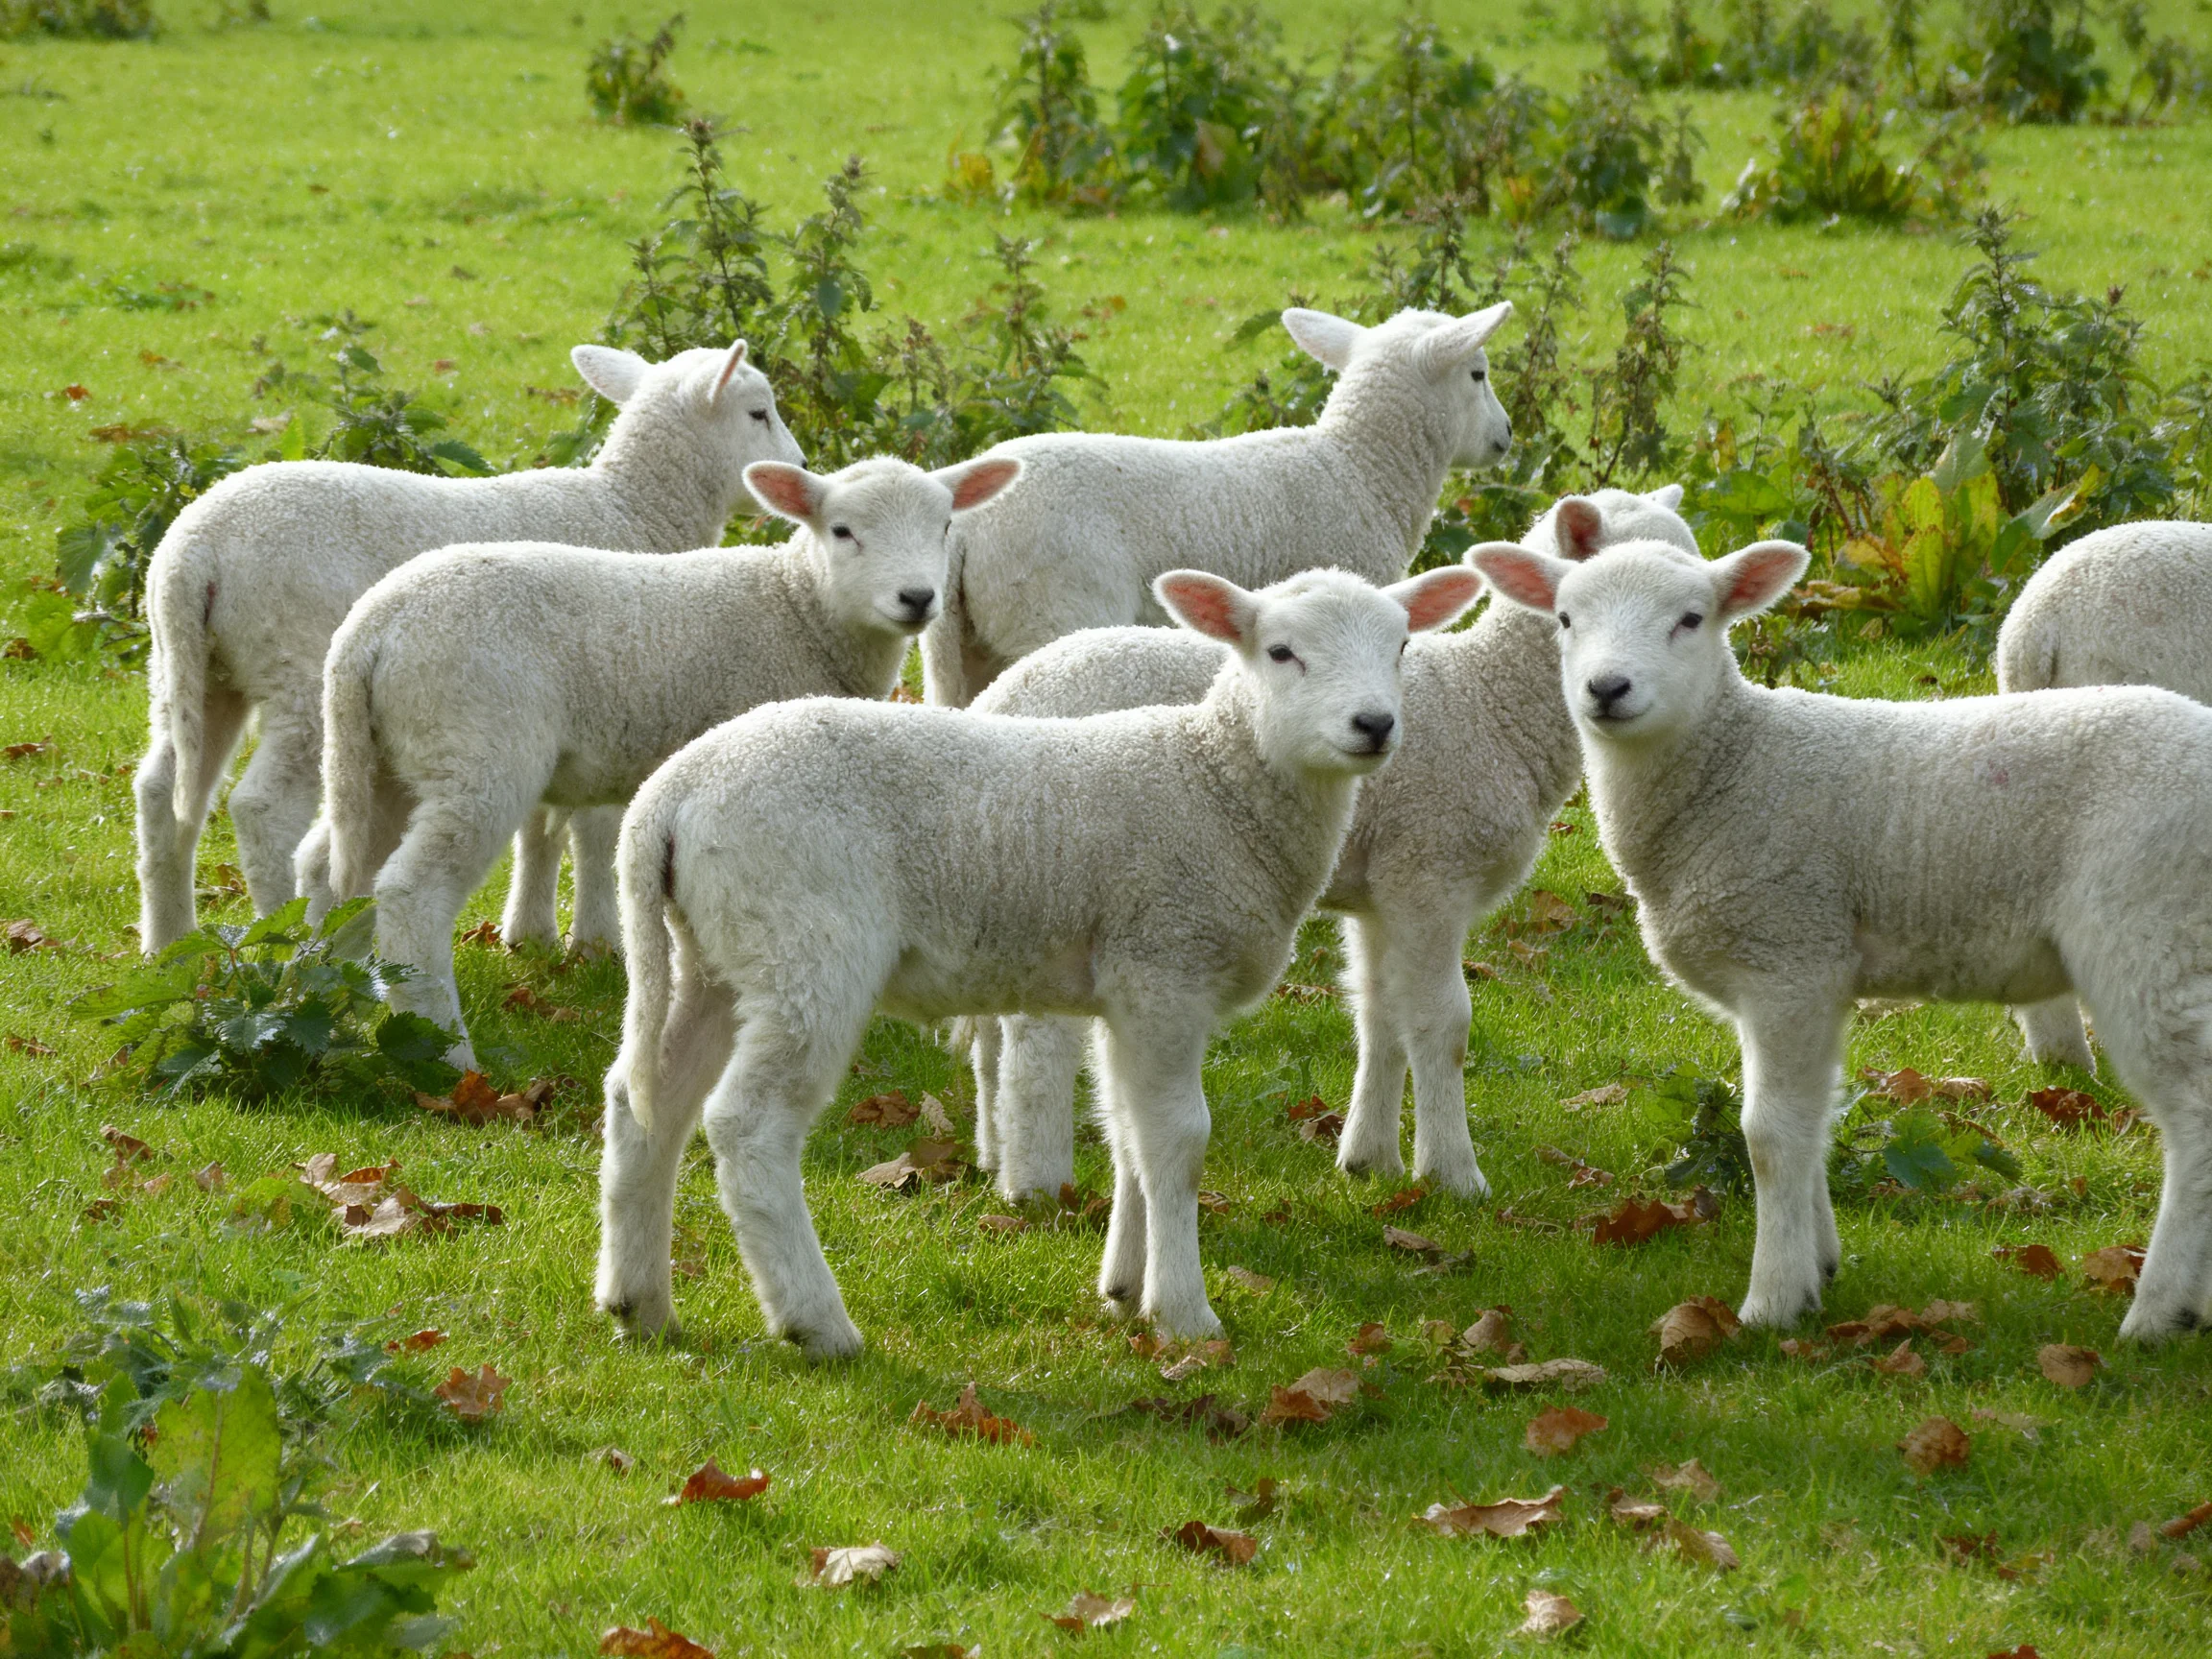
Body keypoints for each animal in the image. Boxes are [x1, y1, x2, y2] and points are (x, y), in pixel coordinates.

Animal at [134, 338, 802, 956]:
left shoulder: (555, 708)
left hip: (195, 670)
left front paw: (530, 933)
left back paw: (167, 942)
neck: (632, 508)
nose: (799, 465)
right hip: (295, 668)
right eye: (758, 412)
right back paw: (279, 929)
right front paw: (595, 940)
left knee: (164, 791)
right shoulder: (614, 696)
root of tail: (193, 551)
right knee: (261, 808)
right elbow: (594, 828)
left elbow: (540, 826)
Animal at [295, 453, 1022, 1069]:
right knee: (409, 893)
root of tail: (368, 632)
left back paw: (325, 1002)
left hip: (383, 757)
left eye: (945, 525)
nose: (918, 598)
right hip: (475, 748)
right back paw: (445, 1050)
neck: (798, 608)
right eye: (842, 531)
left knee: (331, 869)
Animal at [596, 564, 1485, 1358]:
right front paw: (1184, 1312)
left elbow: (1128, 1133)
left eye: (1402, 646)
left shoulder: (1126, 987)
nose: (1375, 724)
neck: (1218, 783)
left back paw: (640, 1304)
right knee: (747, 1126)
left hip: (717, 955)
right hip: (806, 945)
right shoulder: (1166, 965)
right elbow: (1177, 1140)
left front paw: (1125, 1288)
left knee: (646, 1101)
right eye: (1281, 651)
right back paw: (816, 1323)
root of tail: (667, 798)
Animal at [919, 303, 1514, 706]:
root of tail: (970, 525)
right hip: (1052, 610)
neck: (1358, 468)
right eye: (1478, 374)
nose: (1506, 436)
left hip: (955, 648)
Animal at [964, 487, 1700, 1205]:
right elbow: (1442, 1021)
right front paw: (1453, 1176)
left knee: (992, 1033)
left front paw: (1368, 1159)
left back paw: (994, 1155)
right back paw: (1040, 1184)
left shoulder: (1383, 888)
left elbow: (1379, 1012)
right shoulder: (1430, 865)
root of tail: (1001, 699)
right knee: (1038, 1041)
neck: (1491, 703)